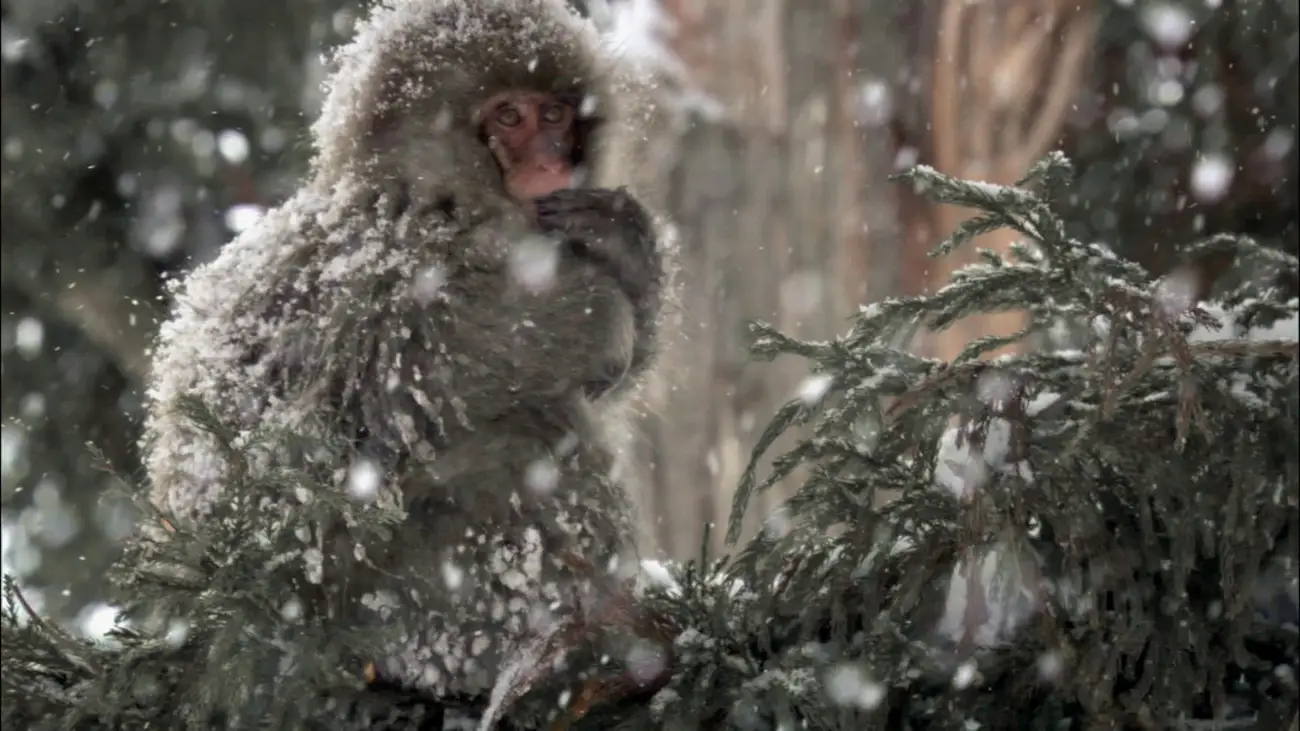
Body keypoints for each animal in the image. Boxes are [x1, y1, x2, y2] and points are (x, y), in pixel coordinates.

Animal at [140, 0, 677, 704]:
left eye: (556, 114)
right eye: (510, 117)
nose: (552, 158)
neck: (428, 192)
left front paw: (628, 252)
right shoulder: (386, 266)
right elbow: (418, 369)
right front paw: (606, 316)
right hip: (379, 598)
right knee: (525, 433)